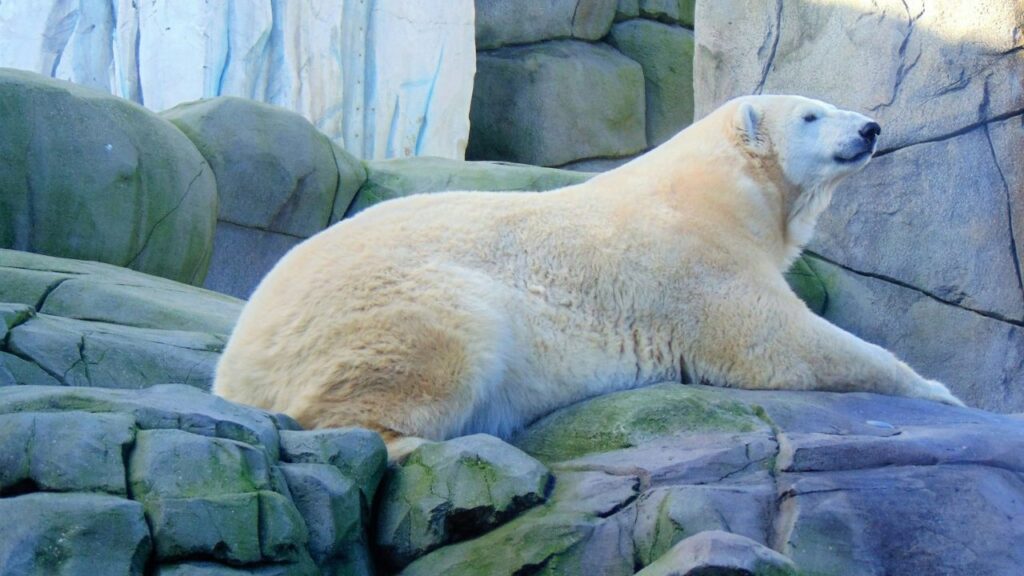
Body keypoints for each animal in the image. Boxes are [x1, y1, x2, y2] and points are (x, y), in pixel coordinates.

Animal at [213, 94, 964, 460]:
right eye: (811, 114)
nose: (870, 128)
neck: (720, 192)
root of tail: (236, 363)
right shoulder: (696, 261)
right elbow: (779, 341)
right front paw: (939, 390)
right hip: (394, 303)